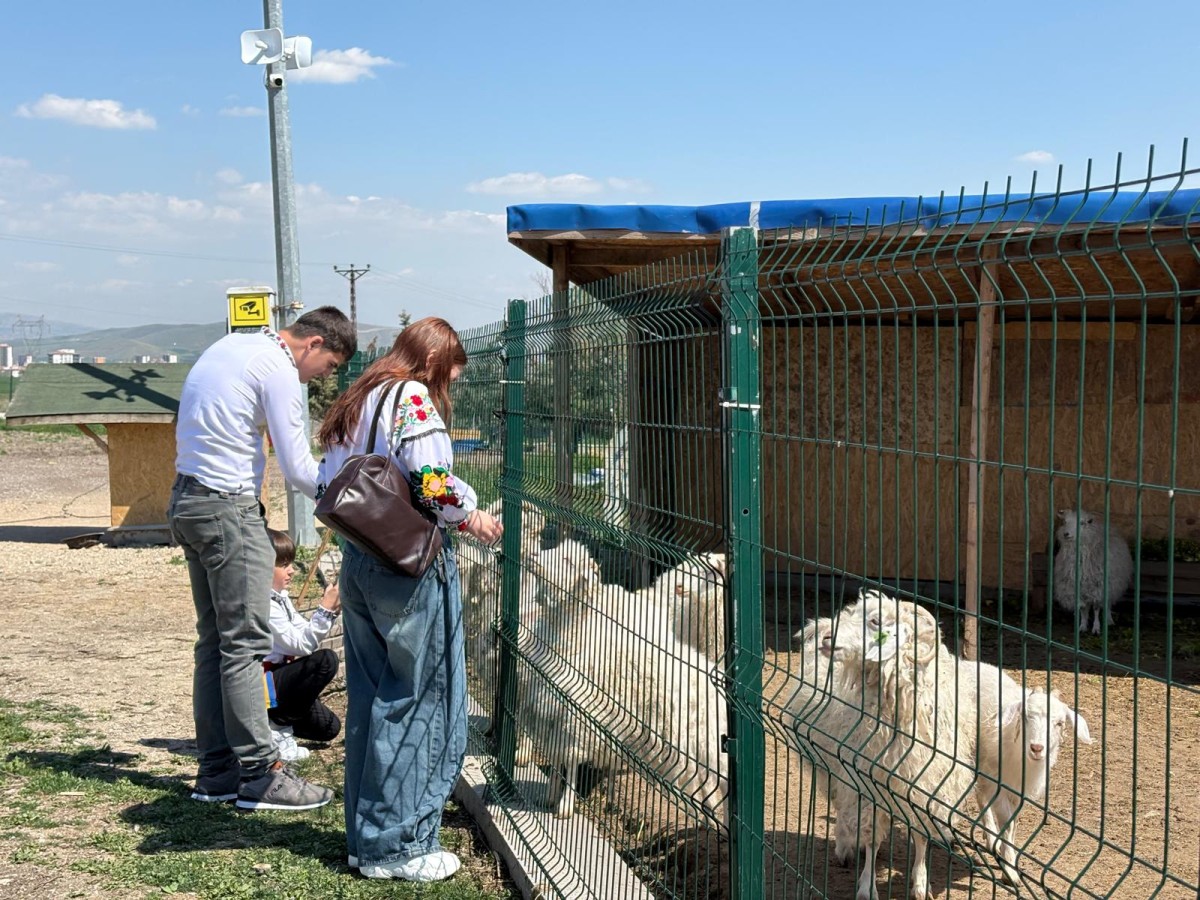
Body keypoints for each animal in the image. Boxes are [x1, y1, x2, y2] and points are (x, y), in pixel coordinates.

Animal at [518, 539, 729, 826]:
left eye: (568, 560)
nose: (531, 556)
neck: (577, 641)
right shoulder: (555, 716)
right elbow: (556, 759)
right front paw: (549, 795)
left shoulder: (578, 721)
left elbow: (570, 763)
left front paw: (565, 807)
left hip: (705, 747)